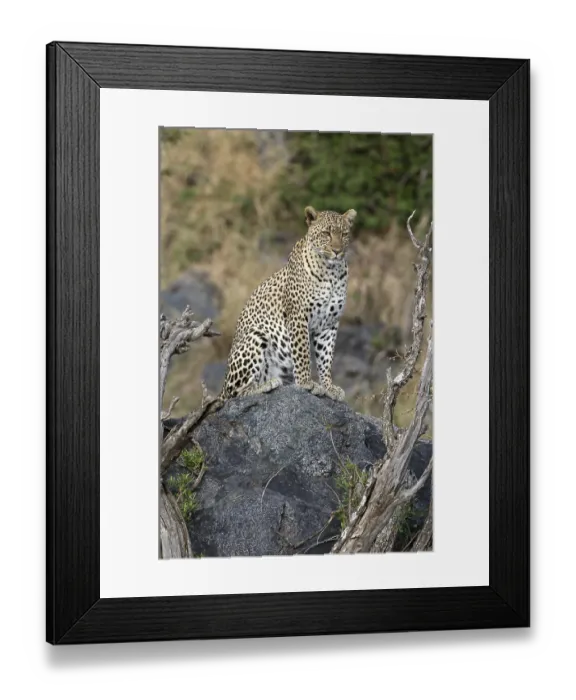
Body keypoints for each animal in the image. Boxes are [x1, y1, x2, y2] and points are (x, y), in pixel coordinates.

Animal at [218, 205, 357, 403]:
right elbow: (303, 352)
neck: (331, 271)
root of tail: (221, 388)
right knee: (235, 392)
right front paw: (306, 383)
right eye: (326, 233)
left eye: (344, 234)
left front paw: (329, 387)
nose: (337, 251)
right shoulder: (298, 316)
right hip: (256, 335)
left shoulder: (329, 323)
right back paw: (267, 384)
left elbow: (326, 358)